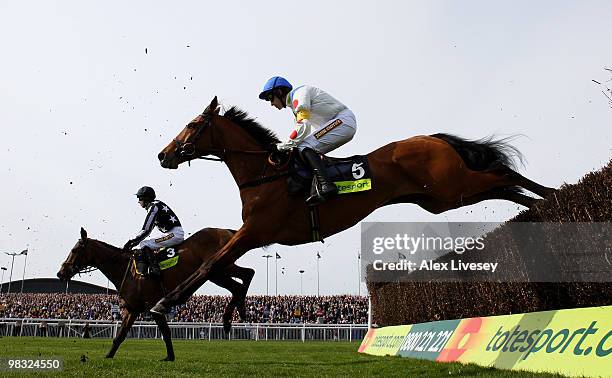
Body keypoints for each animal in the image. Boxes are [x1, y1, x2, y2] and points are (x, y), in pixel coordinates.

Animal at [57, 226, 253, 362]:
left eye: (74, 250)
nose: (61, 273)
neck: (127, 269)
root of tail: (228, 231)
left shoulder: (152, 305)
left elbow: (165, 332)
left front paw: (170, 357)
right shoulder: (133, 309)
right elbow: (120, 335)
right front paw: (108, 356)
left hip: (217, 270)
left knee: (245, 277)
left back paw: (233, 316)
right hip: (220, 271)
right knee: (244, 277)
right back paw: (237, 313)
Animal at [152, 96, 556, 314]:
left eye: (193, 124)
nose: (163, 154)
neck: (265, 174)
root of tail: (431, 138)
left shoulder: (256, 231)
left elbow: (208, 263)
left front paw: (165, 302)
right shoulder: (251, 233)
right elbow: (214, 261)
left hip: (452, 185)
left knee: (502, 173)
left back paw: (553, 193)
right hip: (442, 199)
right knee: (501, 187)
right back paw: (539, 208)